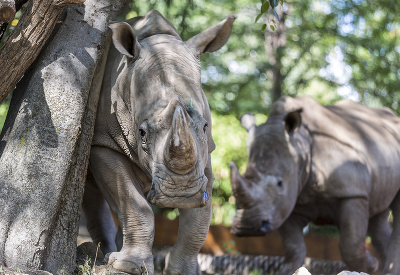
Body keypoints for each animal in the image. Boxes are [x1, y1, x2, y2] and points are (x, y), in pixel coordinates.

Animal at [83, 9, 236, 274]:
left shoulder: (205, 153)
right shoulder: (103, 143)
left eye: (205, 127)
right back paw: (106, 257)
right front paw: (127, 267)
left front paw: (184, 271)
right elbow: (133, 204)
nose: (181, 194)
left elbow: (199, 221)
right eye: (142, 133)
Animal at [230, 96, 400, 275]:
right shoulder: (288, 203)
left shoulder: (353, 192)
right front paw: (289, 270)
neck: (301, 146)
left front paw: (371, 266)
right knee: (378, 215)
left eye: (280, 183)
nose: (246, 227)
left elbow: (351, 245)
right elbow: (293, 248)